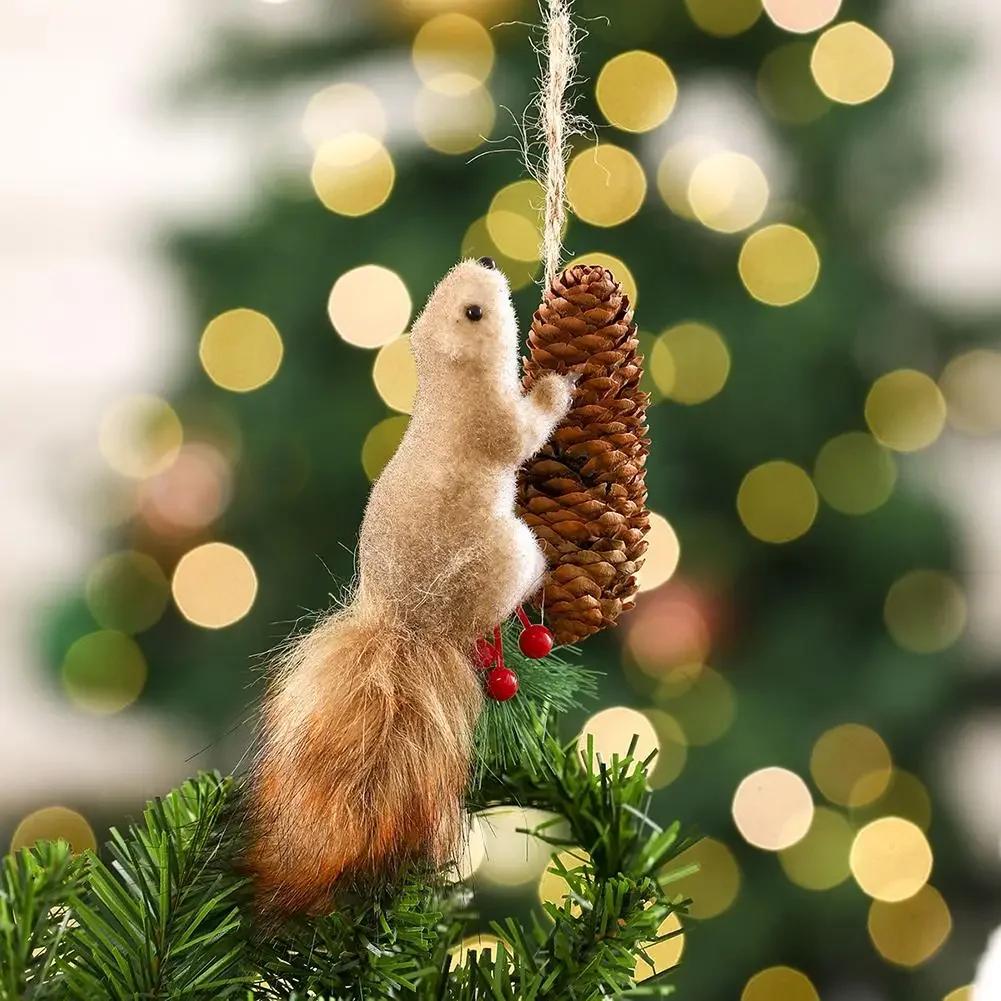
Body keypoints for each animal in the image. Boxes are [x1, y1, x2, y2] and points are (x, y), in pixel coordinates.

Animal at [246, 258, 574, 916]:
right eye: (473, 313)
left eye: (440, 293)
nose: (488, 262)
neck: (445, 388)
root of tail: (404, 621)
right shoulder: (493, 425)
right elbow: (523, 434)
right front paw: (556, 384)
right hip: (508, 555)